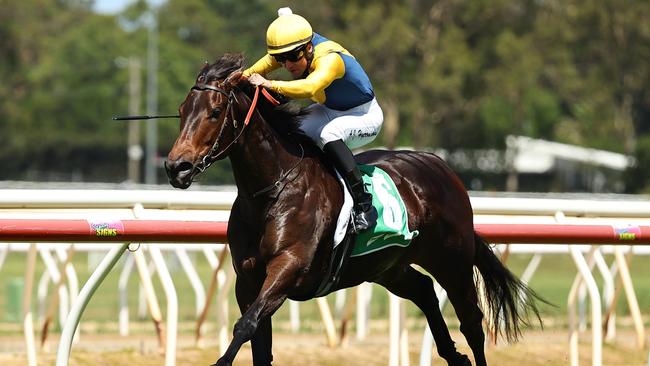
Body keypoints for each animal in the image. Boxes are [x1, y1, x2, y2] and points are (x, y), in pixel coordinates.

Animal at [165, 54, 540, 366]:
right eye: (181, 111)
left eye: (215, 112)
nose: (175, 167)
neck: (272, 191)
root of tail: (442, 168)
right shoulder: (248, 279)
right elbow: (258, 340)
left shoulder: (289, 267)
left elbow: (245, 326)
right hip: (387, 266)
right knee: (423, 290)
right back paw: (452, 355)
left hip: (452, 261)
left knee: (472, 323)